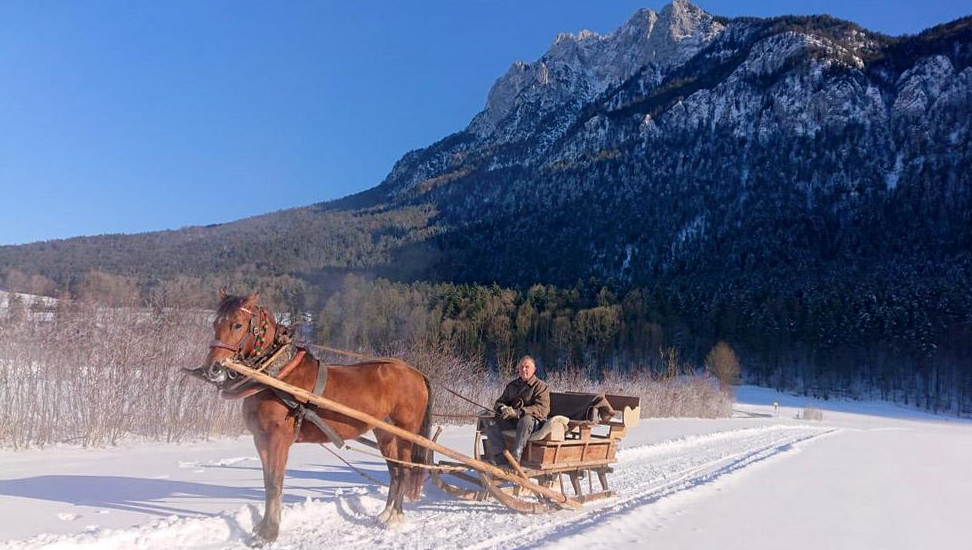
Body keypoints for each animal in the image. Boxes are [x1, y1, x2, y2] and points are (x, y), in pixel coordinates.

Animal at [191, 290, 432, 544]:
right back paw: (385, 513)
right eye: (215, 323)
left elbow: (275, 483)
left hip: (406, 431)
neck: (277, 377)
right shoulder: (261, 438)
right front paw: (261, 528)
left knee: (404, 470)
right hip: (384, 432)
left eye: (237, 324)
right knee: (394, 471)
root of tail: (416, 373)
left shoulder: (278, 439)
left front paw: (269, 533)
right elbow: (268, 481)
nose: (212, 368)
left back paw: (396, 517)